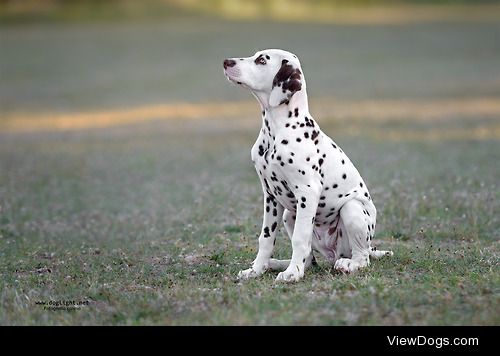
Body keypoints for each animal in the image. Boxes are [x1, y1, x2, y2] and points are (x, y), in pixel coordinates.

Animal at [222, 50, 390, 284]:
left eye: (262, 60)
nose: (226, 62)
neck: (277, 131)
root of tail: (334, 253)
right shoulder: (270, 196)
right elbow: (266, 238)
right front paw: (256, 269)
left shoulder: (307, 192)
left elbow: (300, 239)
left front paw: (293, 273)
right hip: (288, 215)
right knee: (310, 259)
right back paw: (275, 264)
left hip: (352, 209)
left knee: (362, 257)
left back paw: (347, 265)